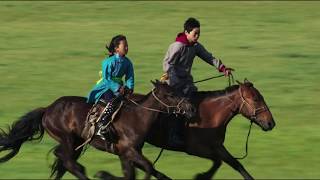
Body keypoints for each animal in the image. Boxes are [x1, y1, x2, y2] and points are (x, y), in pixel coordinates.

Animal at [0, 81, 195, 179]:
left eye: (177, 90)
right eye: (170, 94)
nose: (191, 108)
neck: (138, 118)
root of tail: (47, 109)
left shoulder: (125, 153)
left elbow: (145, 173)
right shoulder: (129, 151)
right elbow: (146, 168)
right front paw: (102, 174)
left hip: (76, 142)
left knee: (62, 160)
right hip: (68, 138)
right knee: (66, 160)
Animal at [97, 79, 276, 179]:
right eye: (256, 99)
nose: (271, 123)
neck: (211, 115)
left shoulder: (218, 146)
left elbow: (236, 165)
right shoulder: (195, 149)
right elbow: (217, 162)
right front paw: (200, 176)